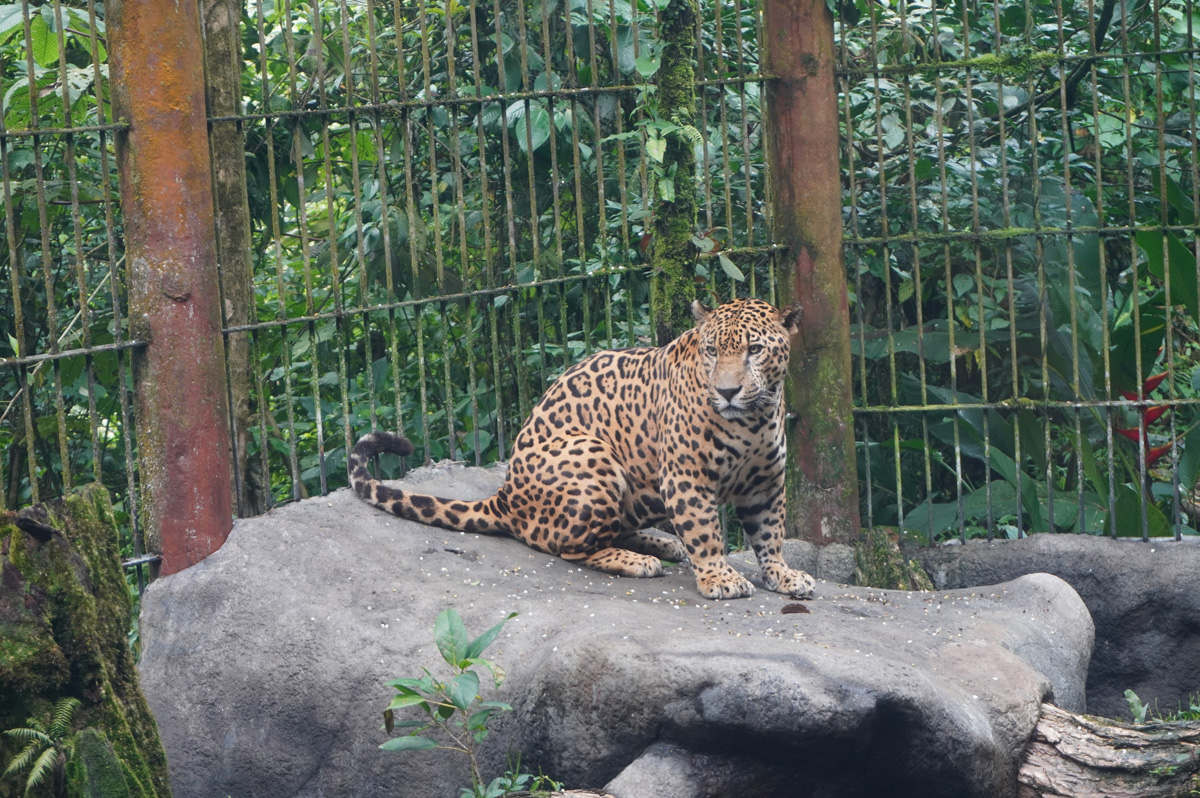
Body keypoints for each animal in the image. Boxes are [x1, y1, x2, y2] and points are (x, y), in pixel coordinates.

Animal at [349, 297, 816, 600]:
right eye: (713, 350)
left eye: (755, 349)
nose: (727, 392)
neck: (754, 419)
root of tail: (505, 496)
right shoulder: (687, 477)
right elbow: (706, 533)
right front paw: (720, 578)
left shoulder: (766, 482)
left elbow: (771, 533)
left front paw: (784, 576)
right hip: (592, 455)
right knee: (566, 545)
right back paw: (637, 560)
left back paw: (659, 544)